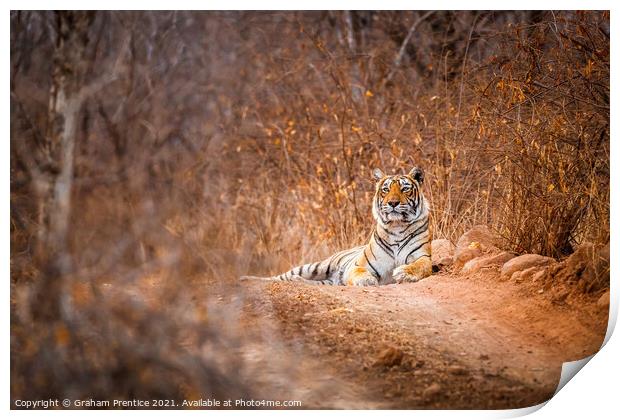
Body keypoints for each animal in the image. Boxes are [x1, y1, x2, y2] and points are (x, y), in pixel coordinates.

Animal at [240, 167, 434, 286]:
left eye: (404, 189)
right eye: (385, 190)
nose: (393, 203)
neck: (397, 227)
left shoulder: (422, 256)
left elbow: (421, 266)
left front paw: (403, 273)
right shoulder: (358, 265)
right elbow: (359, 272)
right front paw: (367, 281)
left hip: (325, 280)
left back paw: (296, 281)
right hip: (315, 266)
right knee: (278, 277)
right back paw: (246, 279)